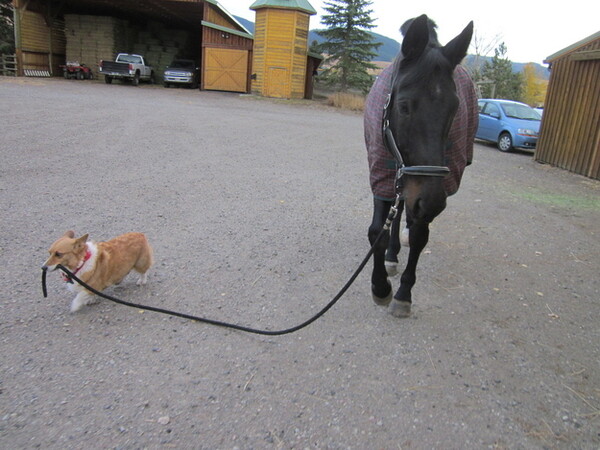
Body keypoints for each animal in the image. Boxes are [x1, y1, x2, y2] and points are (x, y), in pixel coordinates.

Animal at [364, 15, 476, 318]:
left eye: (455, 108)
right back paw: (391, 257)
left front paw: (403, 294)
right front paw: (380, 287)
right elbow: (377, 231)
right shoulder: (382, 174)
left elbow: (418, 236)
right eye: (404, 106)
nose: (432, 202)